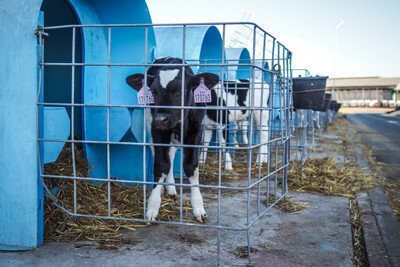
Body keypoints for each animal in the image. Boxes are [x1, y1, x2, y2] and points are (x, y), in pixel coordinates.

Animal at [126, 57, 219, 223]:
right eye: (153, 92)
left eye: (180, 91)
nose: (161, 118)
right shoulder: (156, 130)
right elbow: (161, 165)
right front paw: (153, 207)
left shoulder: (196, 131)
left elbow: (191, 167)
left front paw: (198, 207)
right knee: (162, 156)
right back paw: (166, 188)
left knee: (171, 154)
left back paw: (171, 188)